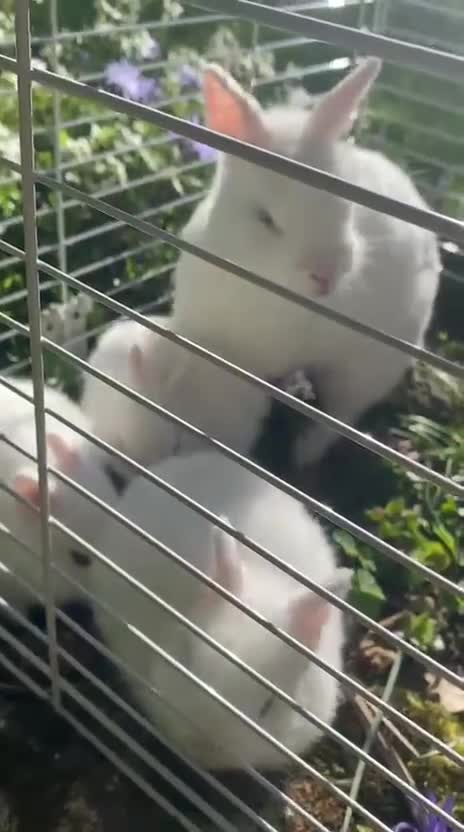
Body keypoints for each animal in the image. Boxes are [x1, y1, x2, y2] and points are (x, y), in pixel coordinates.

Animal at [167, 58, 441, 467]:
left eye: (346, 206)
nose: (325, 273)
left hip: (372, 365)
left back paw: (304, 454)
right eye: (265, 219)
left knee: (340, 416)